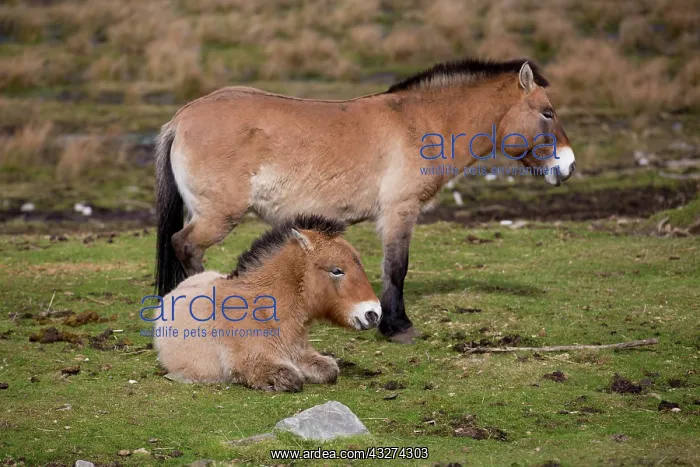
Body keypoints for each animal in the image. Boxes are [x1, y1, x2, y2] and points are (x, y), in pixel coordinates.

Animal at [153, 215, 380, 392]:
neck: (264, 312)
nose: (374, 314)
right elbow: (292, 379)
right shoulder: (255, 362)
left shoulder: (301, 353)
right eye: (336, 270)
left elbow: (330, 370)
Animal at [154, 57, 576, 344]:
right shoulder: (400, 211)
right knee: (185, 246)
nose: (568, 166)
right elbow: (396, 268)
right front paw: (398, 327)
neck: (421, 122)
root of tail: (180, 119)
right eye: (547, 113)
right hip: (218, 216)